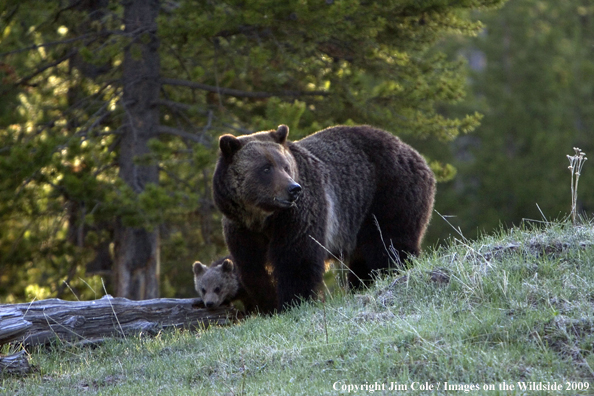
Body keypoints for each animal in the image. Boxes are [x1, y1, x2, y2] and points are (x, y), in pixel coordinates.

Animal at [210, 124, 432, 312]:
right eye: (265, 168)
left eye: (285, 166)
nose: (293, 189)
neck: (262, 217)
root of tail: (414, 153)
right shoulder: (241, 229)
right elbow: (253, 269)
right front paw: (269, 305)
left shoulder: (299, 215)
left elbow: (297, 258)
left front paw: (294, 302)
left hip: (387, 194)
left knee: (389, 243)